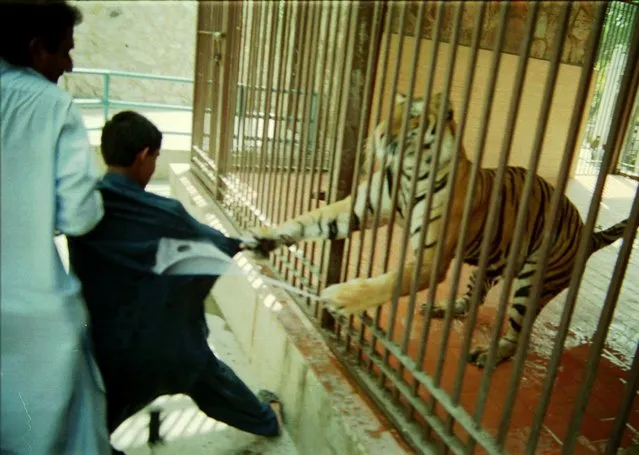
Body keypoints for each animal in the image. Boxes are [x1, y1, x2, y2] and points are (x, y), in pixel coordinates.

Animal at [245, 91, 632, 366]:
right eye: (389, 112)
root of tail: (585, 229)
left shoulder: (430, 259)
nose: (379, 133)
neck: (407, 172)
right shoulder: (357, 209)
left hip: (534, 282)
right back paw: (443, 309)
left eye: (414, 116)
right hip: (490, 262)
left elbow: (389, 281)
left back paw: (489, 355)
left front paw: (341, 298)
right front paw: (261, 239)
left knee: (517, 332)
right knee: (475, 296)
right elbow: (307, 221)